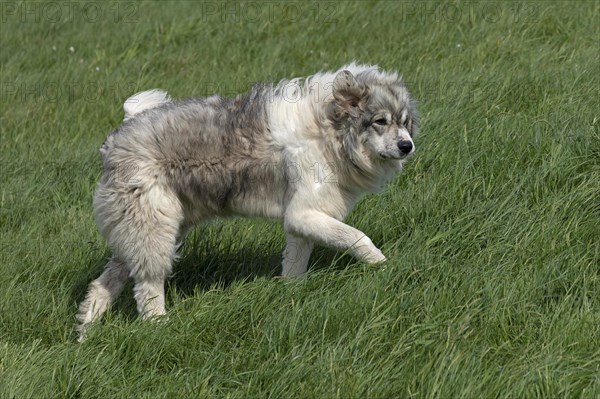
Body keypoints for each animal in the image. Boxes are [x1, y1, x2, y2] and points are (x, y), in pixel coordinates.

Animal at [76, 62, 418, 340]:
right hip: (154, 231)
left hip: (143, 233)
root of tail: (120, 134)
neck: (328, 130)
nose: (407, 146)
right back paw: (160, 326)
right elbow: (358, 238)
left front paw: (291, 294)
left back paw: (84, 334)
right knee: (147, 287)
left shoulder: (303, 220)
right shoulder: (304, 214)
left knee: (102, 285)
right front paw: (384, 265)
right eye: (380, 121)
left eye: (404, 122)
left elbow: (295, 265)